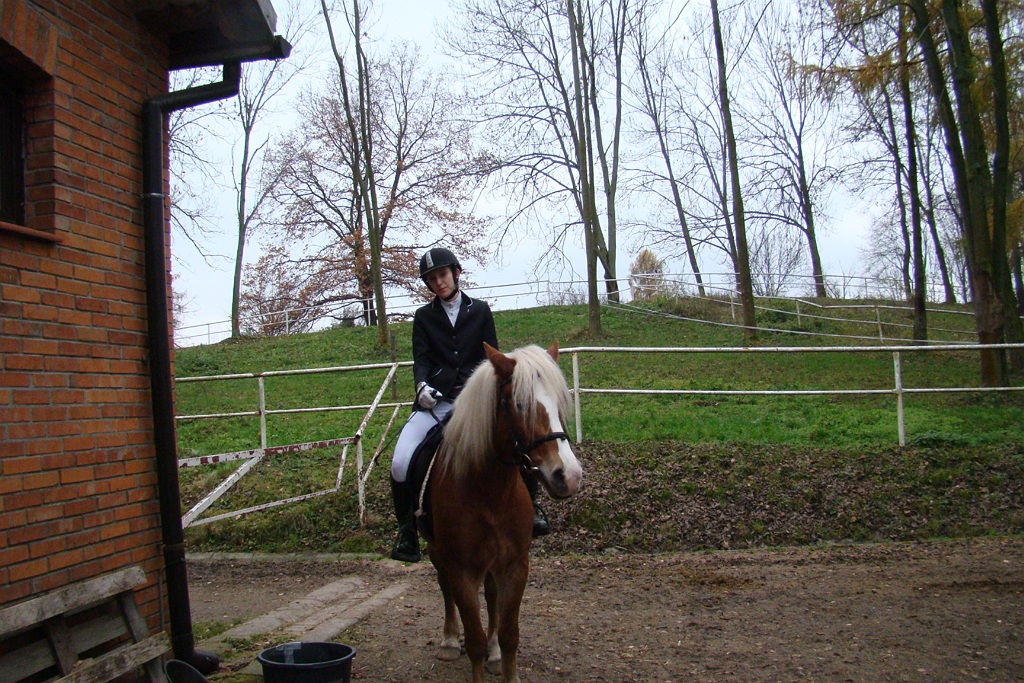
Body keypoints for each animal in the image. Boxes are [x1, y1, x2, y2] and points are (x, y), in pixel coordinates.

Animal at [418, 341, 583, 683]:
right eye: (519, 404)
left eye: (559, 403)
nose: (569, 476)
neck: (489, 491)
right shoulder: (462, 568)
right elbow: (474, 640)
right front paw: (467, 645)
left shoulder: (515, 564)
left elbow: (510, 635)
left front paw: (501, 658)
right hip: (438, 550)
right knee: (443, 584)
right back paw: (450, 640)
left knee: (491, 595)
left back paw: (492, 653)